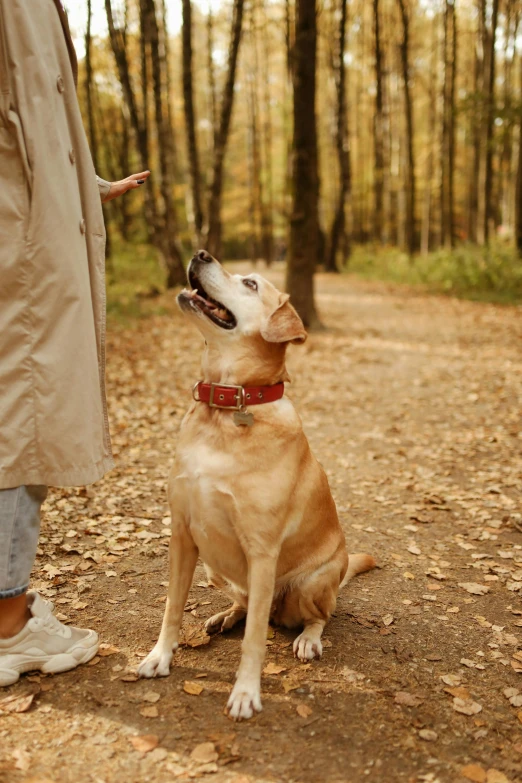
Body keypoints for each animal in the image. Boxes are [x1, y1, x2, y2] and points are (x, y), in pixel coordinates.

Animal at [138, 254, 374, 720]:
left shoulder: (262, 551)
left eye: (250, 283)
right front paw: (161, 655)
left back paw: (307, 638)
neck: (226, 406)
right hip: (214, 567)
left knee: (318, 615)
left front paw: (246, 692)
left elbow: (254, 642)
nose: (200, 254)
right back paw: (225, 616)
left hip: (311, 582)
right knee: (247, 607)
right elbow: (171, 607)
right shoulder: (183, 536)